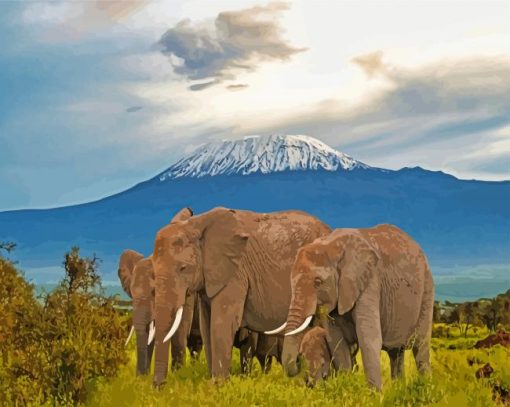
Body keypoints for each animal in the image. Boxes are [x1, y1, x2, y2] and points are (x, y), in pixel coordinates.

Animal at [150, 207, 330, 386]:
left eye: (183, 268)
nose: (160, 386)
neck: (197, 224)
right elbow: (206, 325)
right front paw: (213, 384)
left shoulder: (236, 273)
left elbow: (221, 323)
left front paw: (219, 385)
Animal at [278, 225, 434, 390]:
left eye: (318, 282)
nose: (297, 360)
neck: (332, 245)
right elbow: (337, 342)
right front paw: (346, 387)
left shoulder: (370, 282)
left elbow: (369, 338)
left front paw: (374, 394)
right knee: (396, 353)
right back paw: (398, 387)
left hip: (427, 288)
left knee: (420, 347)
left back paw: (427, 386)